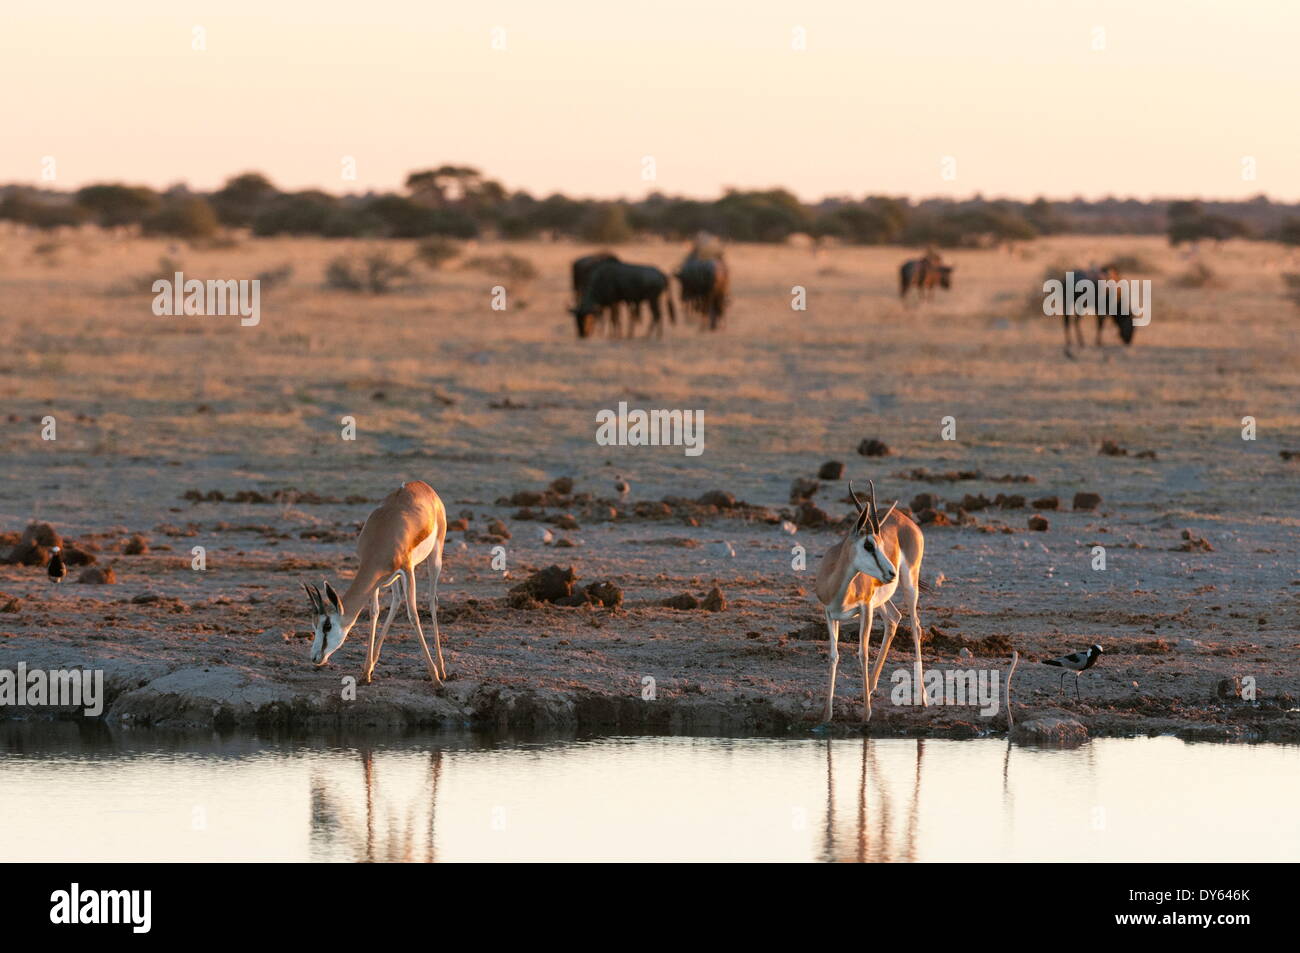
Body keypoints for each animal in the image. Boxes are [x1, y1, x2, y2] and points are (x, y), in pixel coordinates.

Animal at [301, 483, 449, 686]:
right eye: (314, 625)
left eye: (328, 626)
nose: (315, 657)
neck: (382, 536)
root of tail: (422, 486)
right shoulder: (374, 579)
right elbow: (374, 613)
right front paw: (365, 673)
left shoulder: (408, 570)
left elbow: (413, 616)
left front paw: (435, 679)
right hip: (393, 578)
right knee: (397, 600)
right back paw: (373, 663)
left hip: (434, 558)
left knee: (432, 601)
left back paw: (441, 670)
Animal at [811, 483, 925, 722]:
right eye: (869, 545)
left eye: (881, 544)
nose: (891, 572)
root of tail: (904, 518)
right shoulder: (829, 613)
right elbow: (834, 655)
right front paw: (827, 714)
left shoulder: (865, 609)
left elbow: (863, 653)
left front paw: (866, 713)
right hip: (881, 601)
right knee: (894, 619)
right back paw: (871, 687)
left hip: (909, 585)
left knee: (915, 626)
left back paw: (922, 697)